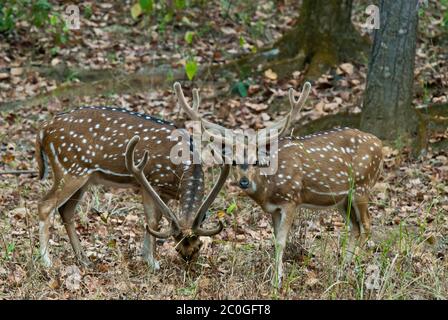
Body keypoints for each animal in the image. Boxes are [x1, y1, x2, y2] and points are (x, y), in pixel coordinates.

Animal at [36, 89, 229, 268]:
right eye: (177, 247)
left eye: (198, 246)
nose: (188, 261)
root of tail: (43, 130)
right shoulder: (151, 181)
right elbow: (152, 220)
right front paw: (152, 262)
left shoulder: (164, 191)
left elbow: (157, 220)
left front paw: (146, 256)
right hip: (71, 169)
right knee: (45, 206)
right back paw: (47, 262)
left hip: (84, 177)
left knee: (66, 211)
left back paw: (83, 260)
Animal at [175, 81, 382, 286]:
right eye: (233, 161)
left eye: (256, 161)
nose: (244, 182)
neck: (268, 189)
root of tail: (380, 145)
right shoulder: (274, 209)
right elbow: (275, 240)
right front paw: (276, 277)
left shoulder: (291, 199)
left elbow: (282, 241)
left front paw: (277, 282)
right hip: (342, 199)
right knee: (355, 227)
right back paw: (342, 271)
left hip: (362, 185)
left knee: (367, 225)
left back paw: (354, 268)